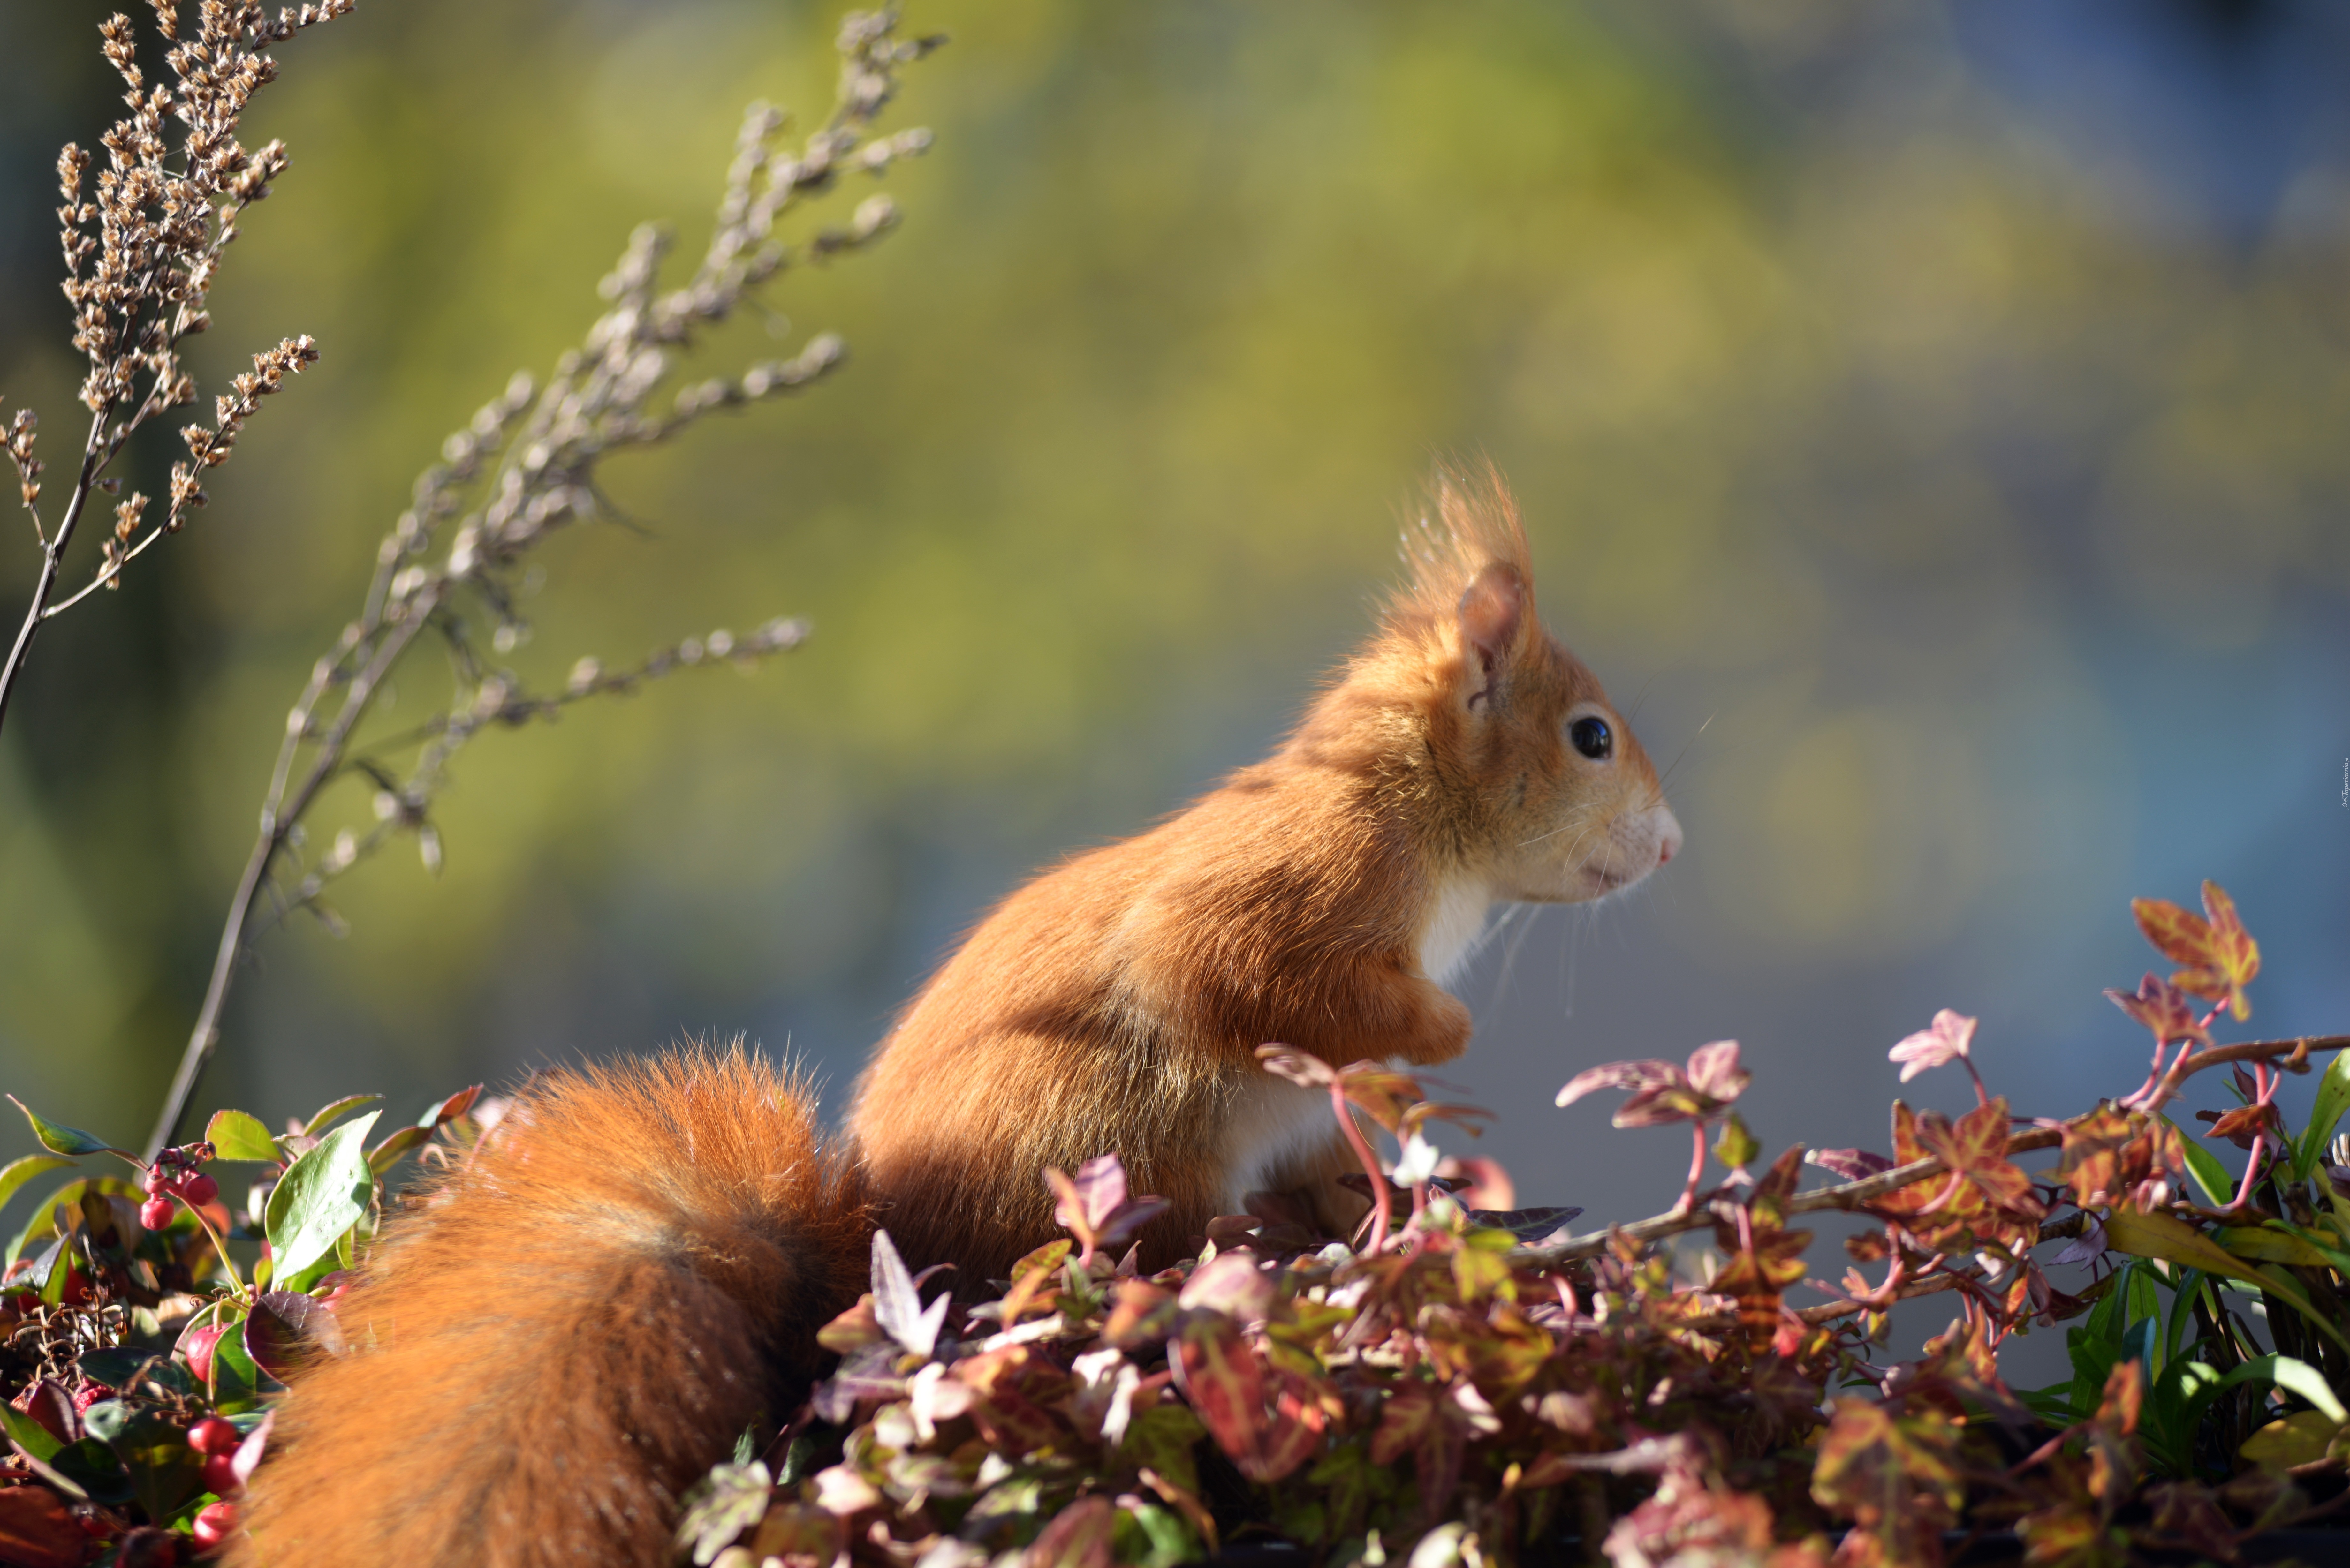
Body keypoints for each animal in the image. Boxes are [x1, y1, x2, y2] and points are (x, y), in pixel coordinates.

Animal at [239, 472, 1682, 1568]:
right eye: (1591, 737)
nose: (1672, 847)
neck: (1423, 816)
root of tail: (876, 1255)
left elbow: (1342, 1138)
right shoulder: (1303, 882)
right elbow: (1229, 972)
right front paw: (1442, 1033)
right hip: (1122, 1149)